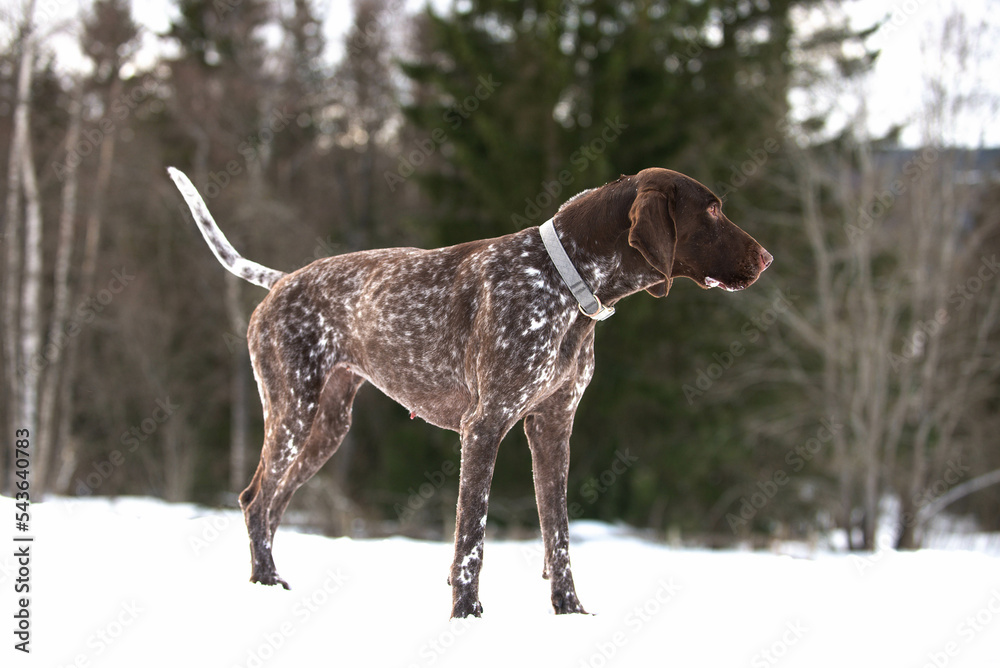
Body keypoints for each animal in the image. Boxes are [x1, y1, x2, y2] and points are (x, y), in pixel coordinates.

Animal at [168, 168, 768, 620]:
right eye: (712, 211)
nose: (767, 259)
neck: (565, 278)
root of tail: (282, 280)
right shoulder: (485, 426)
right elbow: (471, 538)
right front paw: (466, 616)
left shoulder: (553, 429)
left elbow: (558, 535)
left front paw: (569, 612)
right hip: (294, 412)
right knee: (256, 499)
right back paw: (264, 584)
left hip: (327, 427)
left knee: (274, 502)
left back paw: (270, 582)